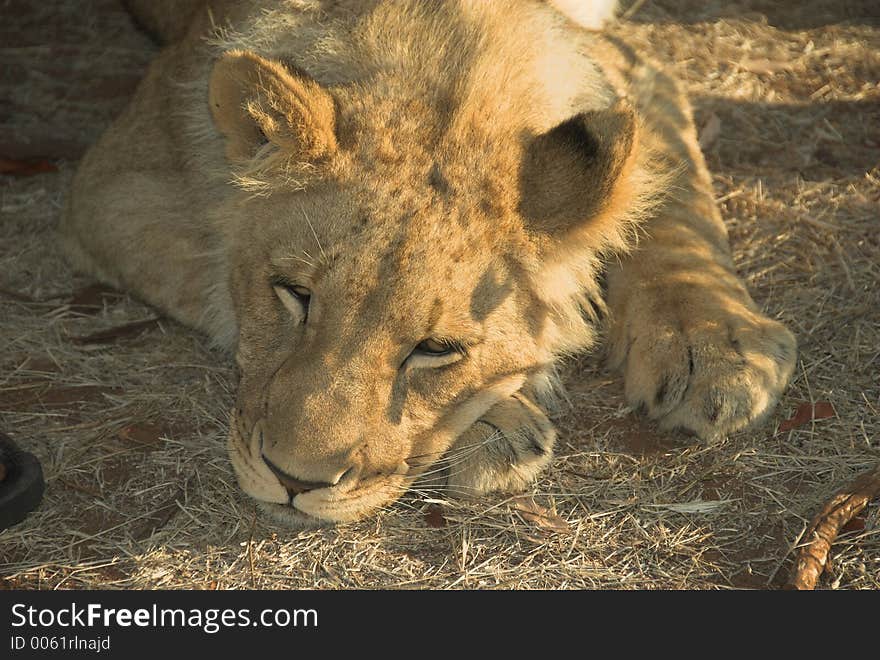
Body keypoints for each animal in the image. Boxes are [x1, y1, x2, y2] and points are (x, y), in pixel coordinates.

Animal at [58, 0, 796, 524]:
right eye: (292, 293)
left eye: (436, 349)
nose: (293, 482)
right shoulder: (112, 187)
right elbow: (215, 281)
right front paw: (504, 417)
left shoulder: (622, 65)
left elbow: (671, 197)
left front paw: (716, 348)